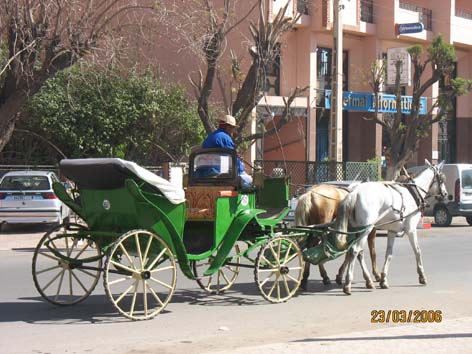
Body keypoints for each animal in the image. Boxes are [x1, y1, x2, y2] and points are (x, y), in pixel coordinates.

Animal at [332, 160, 446, 294]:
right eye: (442, 178)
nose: (445, 194)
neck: (413, 193)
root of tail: (355, 193)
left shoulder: (392, 230)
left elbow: (389, 254)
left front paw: (384, 280)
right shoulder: (411, 229)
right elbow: (417, 251)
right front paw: (422, 276)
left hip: (355, 230)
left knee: (357, 252)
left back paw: (368, 281)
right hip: (366, 229)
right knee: (355, 250)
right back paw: (348, 283)